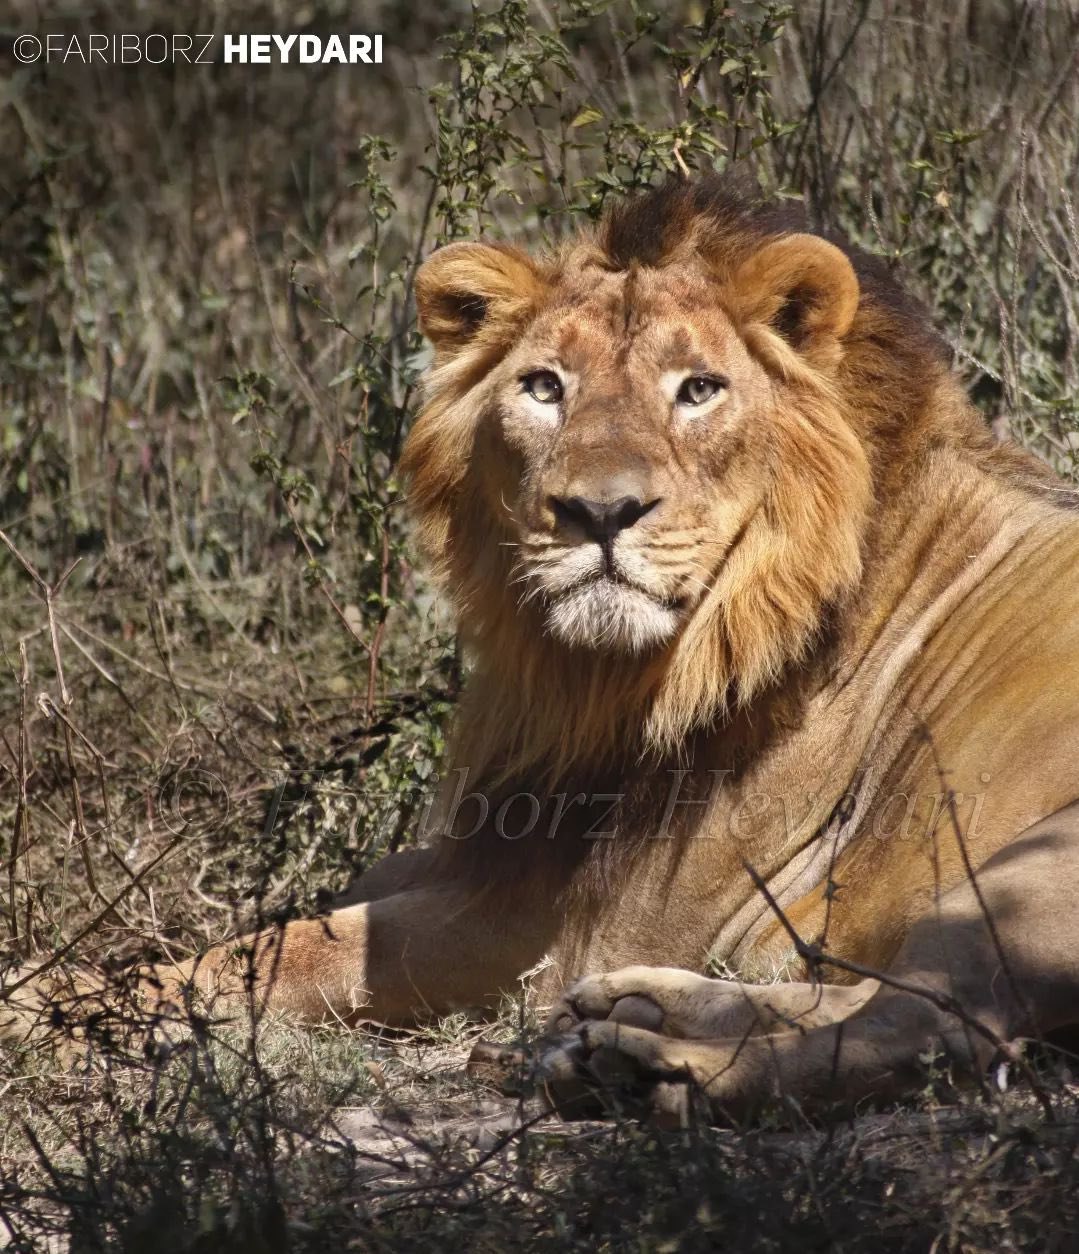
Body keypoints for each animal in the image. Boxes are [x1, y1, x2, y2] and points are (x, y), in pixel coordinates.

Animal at [8, 174, 1079, 1118]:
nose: (598, 512)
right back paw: (634, 1013)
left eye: (699, 390)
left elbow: (285, 951)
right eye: (543, 387)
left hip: (1027, 876)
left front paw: (38, 1006)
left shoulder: (568, 925)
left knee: (932, 1024)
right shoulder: (503, 855)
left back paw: (643, 1073)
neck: (606, 679)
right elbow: (334, 898)